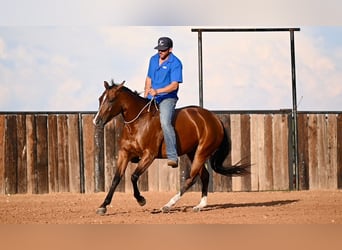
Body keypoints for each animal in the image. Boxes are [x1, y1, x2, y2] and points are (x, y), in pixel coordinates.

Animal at [93, 80, 248, 215]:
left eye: (111, 99)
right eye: (100, 99)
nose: (97, 121)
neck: (138, 122)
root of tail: (214, 118)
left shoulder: (149, 155)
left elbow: (133, 176)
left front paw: (141, 199)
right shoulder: (124, 153)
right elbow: (116, 179)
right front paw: (103, 206)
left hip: (202, 152)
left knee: (191, 178)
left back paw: (168, 205)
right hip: (193, 153)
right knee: (204, 175)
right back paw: (200, 205)